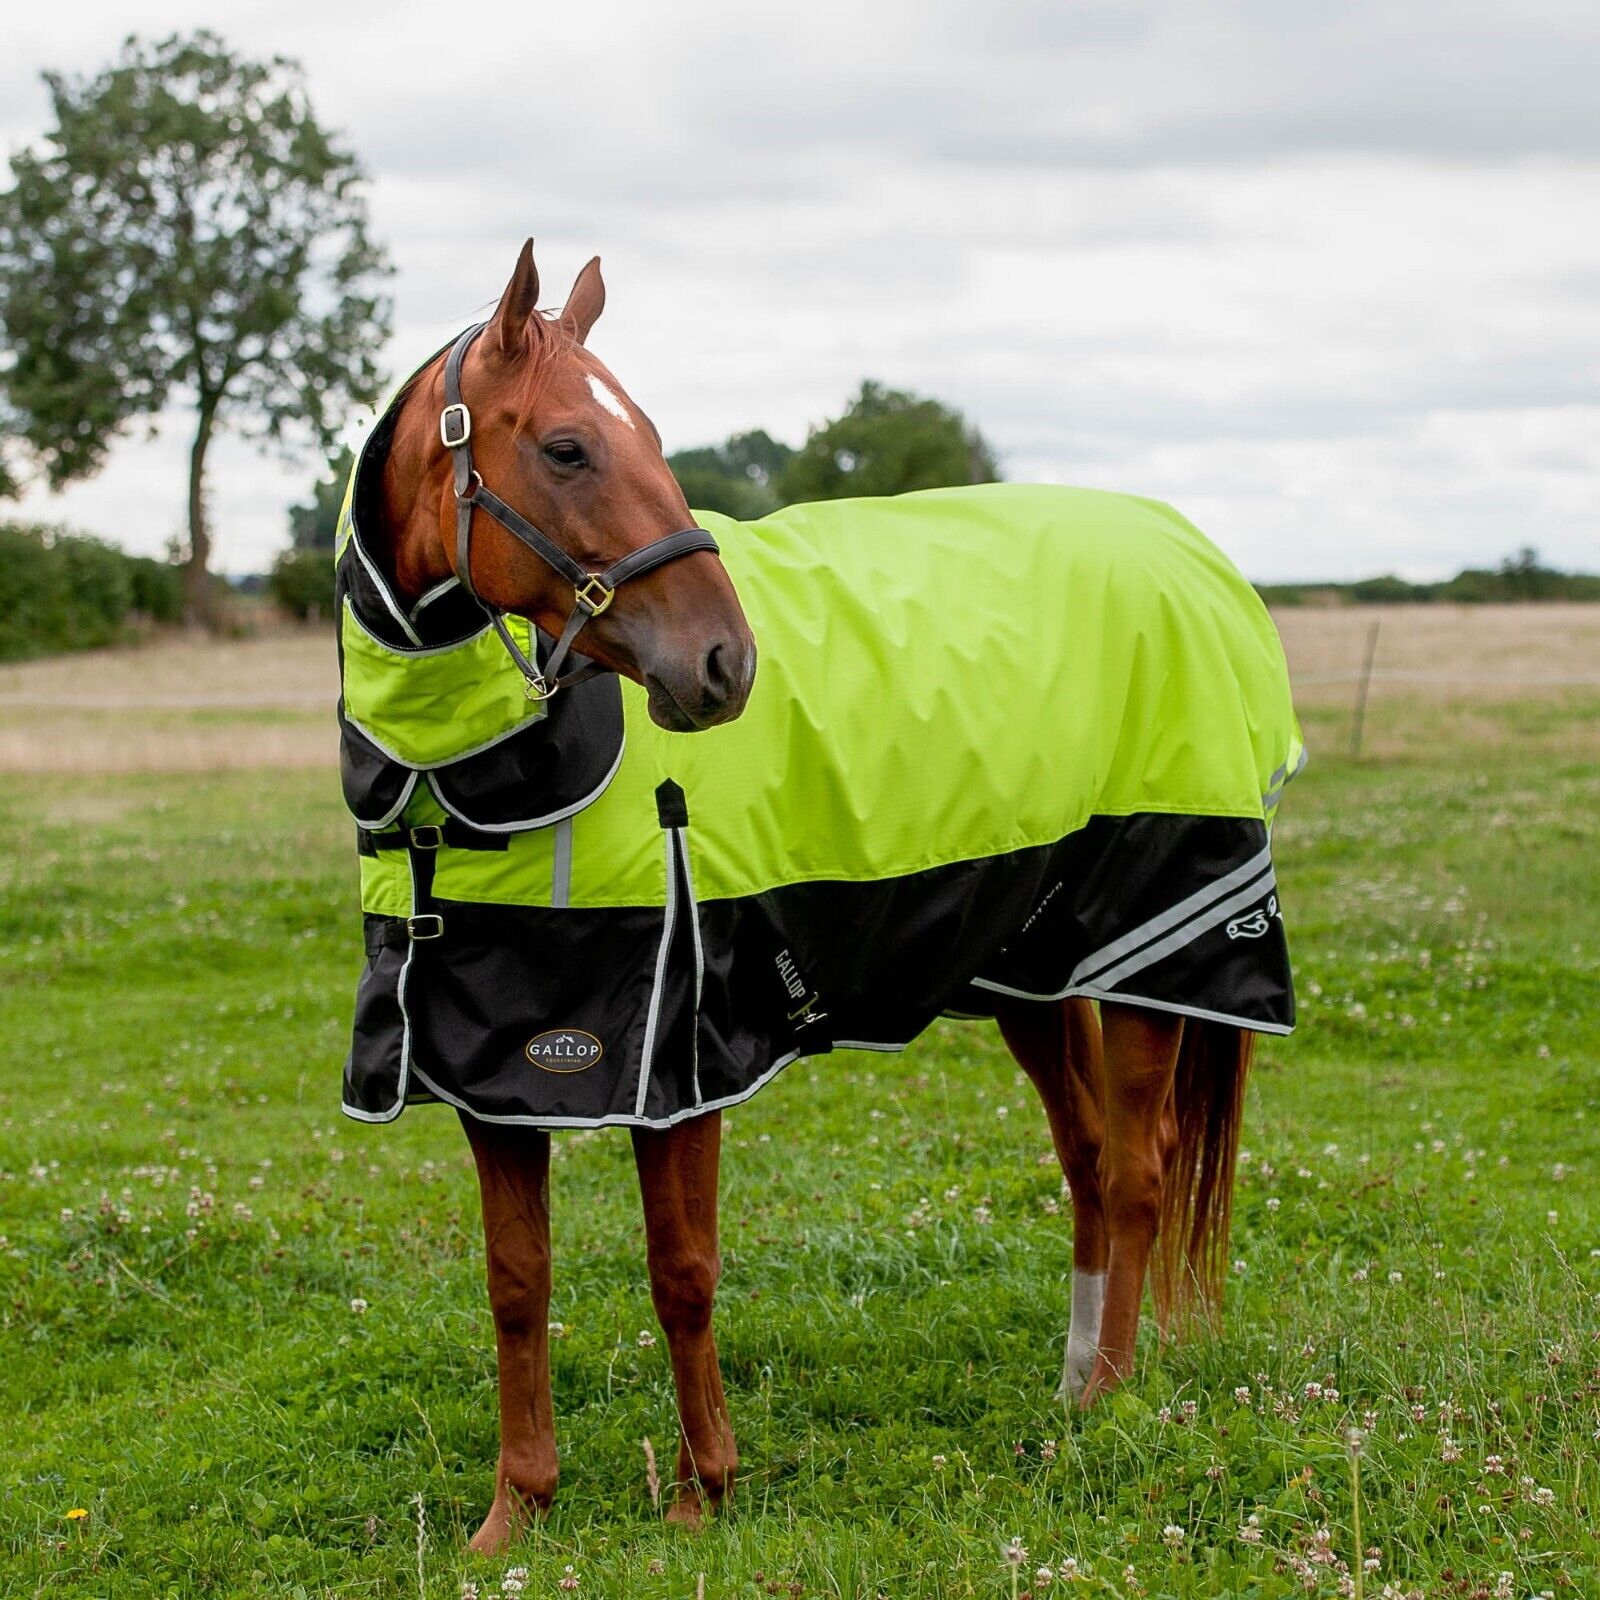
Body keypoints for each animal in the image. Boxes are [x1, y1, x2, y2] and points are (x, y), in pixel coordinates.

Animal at [343, 240, 1295, 1548]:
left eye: (651, 438)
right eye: (568, 447)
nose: (723, 664)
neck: (476, 785)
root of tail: (1192, 556)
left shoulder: (676, 1060)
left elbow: (680, 1271)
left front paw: (703, 1492)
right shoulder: (491, 1065)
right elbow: (516, 1284)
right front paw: (514, 1513)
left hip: (1156, 942)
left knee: (1141, 1172)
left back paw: (1106, 1400)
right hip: (1039, 972)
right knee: (1092, 1158)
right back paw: (1070, 1382)